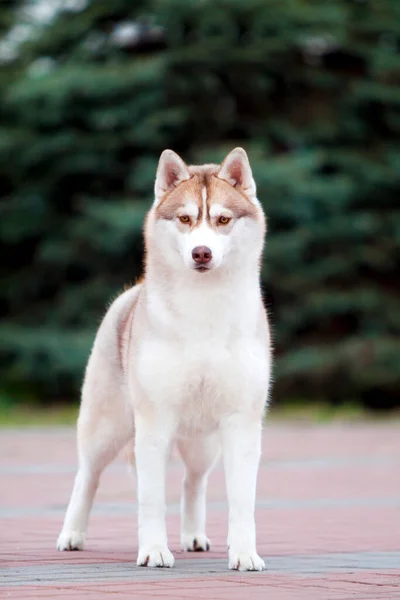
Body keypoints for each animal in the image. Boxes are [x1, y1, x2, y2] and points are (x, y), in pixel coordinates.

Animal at [57, 148, 272, 568]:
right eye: (185, 219)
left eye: (223, 219)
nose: (201, 252)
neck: (204, 309)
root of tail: (132, 292)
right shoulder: (154, 422)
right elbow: (151, 498)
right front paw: (154, 550)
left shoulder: (241, 422)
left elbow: (242, 501)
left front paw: (244, 553)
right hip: (107, 426)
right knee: (86, 476)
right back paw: (72, 534)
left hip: (204, 442)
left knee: (194, 480)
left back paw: (194, 535)